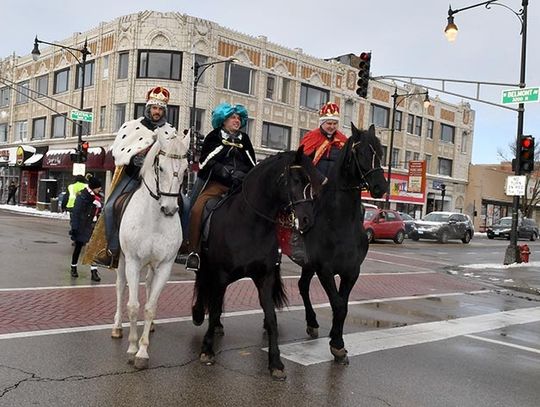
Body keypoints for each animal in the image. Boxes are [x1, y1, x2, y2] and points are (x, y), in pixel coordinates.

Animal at [109, 131, 190, 370]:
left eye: (185, 170)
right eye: (160, 167)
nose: (169, 209)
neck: (154, 220)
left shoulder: (164, 266)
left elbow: (150, 307)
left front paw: (143, 352)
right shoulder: (133, 262)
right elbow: (133, 306)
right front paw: (132, 348)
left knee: (147, 285)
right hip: (122, 260)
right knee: (120, 287)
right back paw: (117, 327)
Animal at [192, 148, 322, 380]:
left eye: (311, 182)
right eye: (296, 180)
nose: (308, 220)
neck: (250, 223)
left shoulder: (265, 277)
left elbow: (271, 318)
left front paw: (276, 363)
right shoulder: (221, 275)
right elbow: (214, 309)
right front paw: (207, 349)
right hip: (205, 262)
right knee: (202, 281)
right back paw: (199, 313)